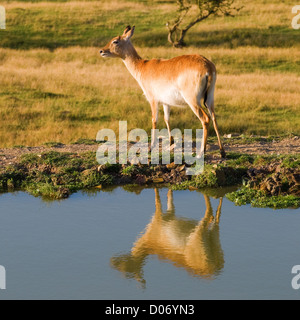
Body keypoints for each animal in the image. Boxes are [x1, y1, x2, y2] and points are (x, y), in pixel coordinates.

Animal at [99, 25, 226, 158]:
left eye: (115, 41)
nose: (101, 51)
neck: (143, 66)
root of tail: (207, 66)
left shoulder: (153, 100)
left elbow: (154, 120)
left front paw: (151, 147)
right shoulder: (166, 102)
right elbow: (167, 119)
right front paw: (171, 143)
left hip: (193, 101)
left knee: (205, 119)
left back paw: (201, 152)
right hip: (210, 99)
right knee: (214, 118)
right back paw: (222, 151)